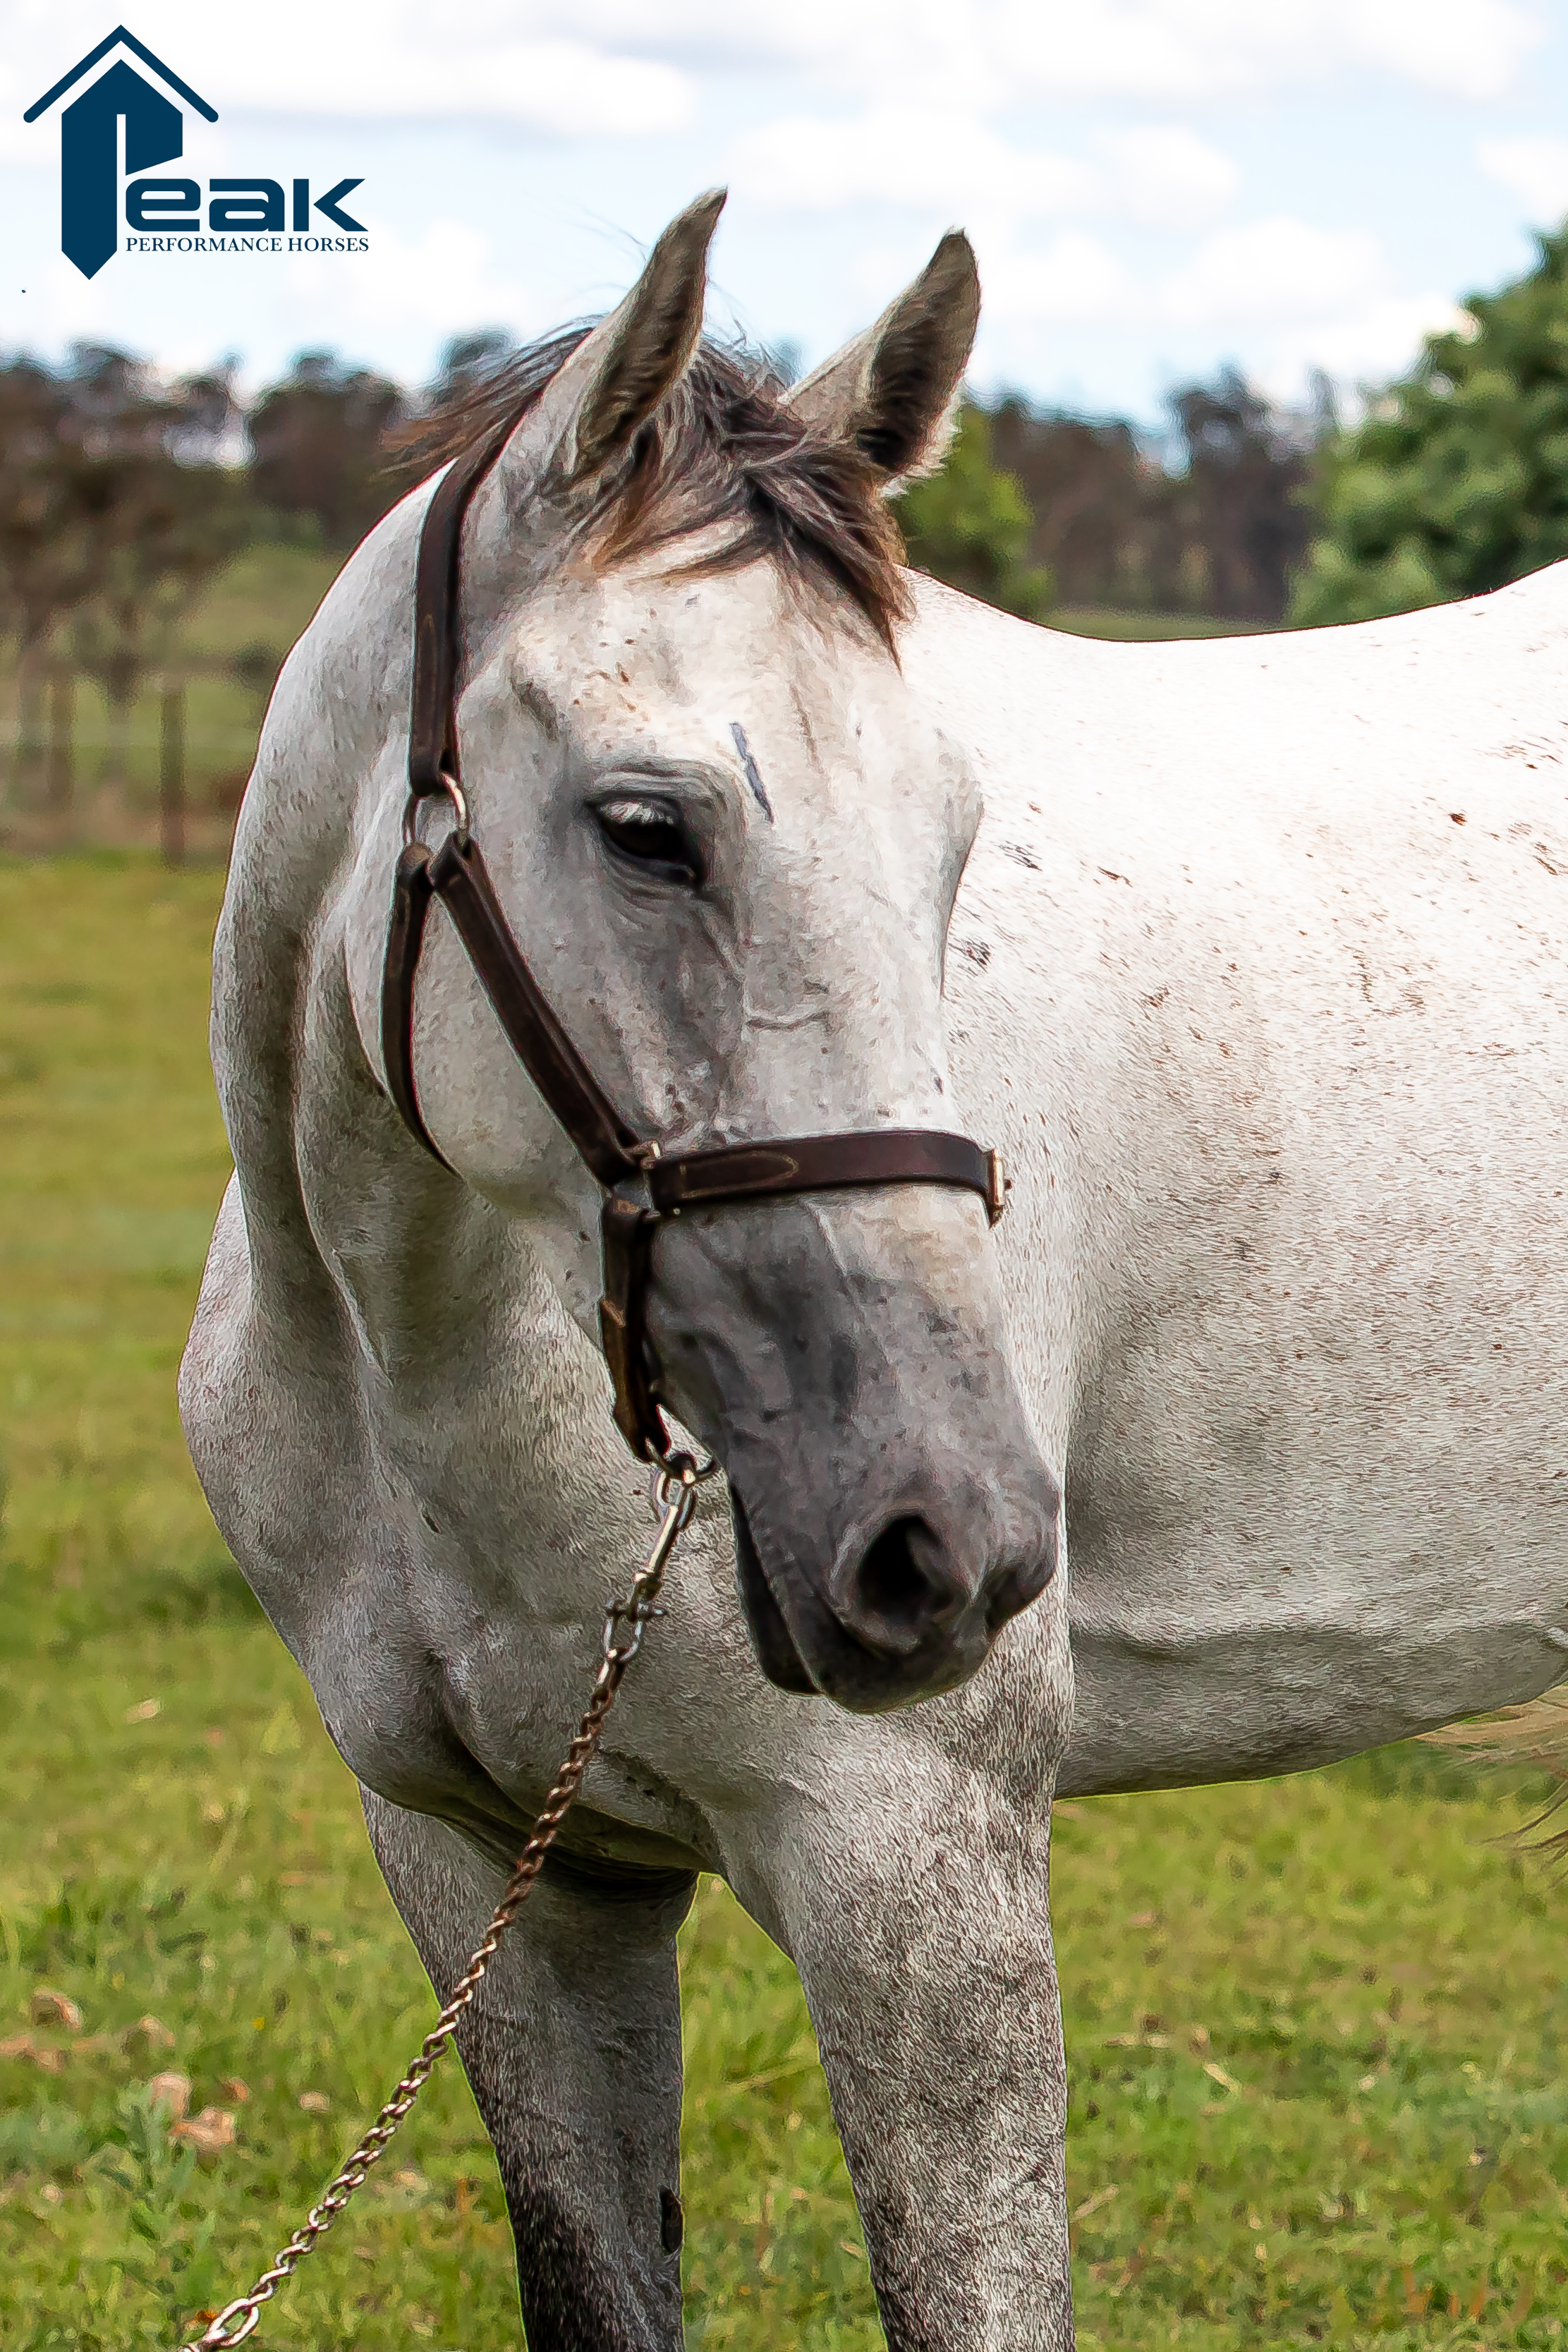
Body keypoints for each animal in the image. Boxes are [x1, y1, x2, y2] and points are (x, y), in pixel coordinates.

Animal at [180, 189, 1568, 2350]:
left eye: (954, 834)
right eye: (644, 829)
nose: (952, 1534)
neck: (421, 1368)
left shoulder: (912, 1872)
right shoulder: (500, 1874)